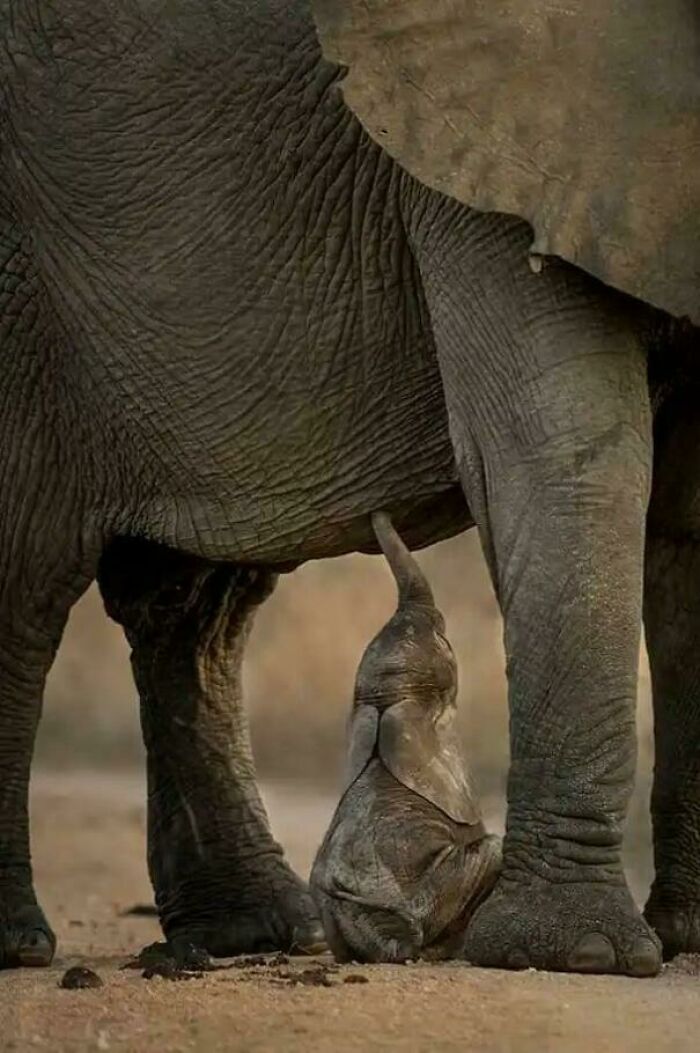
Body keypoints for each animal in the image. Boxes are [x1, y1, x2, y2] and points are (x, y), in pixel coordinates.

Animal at [0, 0, 697, 976]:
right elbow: (560, 456)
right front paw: (578, 955)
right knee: (26, 586)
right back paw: (23, 943)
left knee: (195, 610)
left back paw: (250, 934)